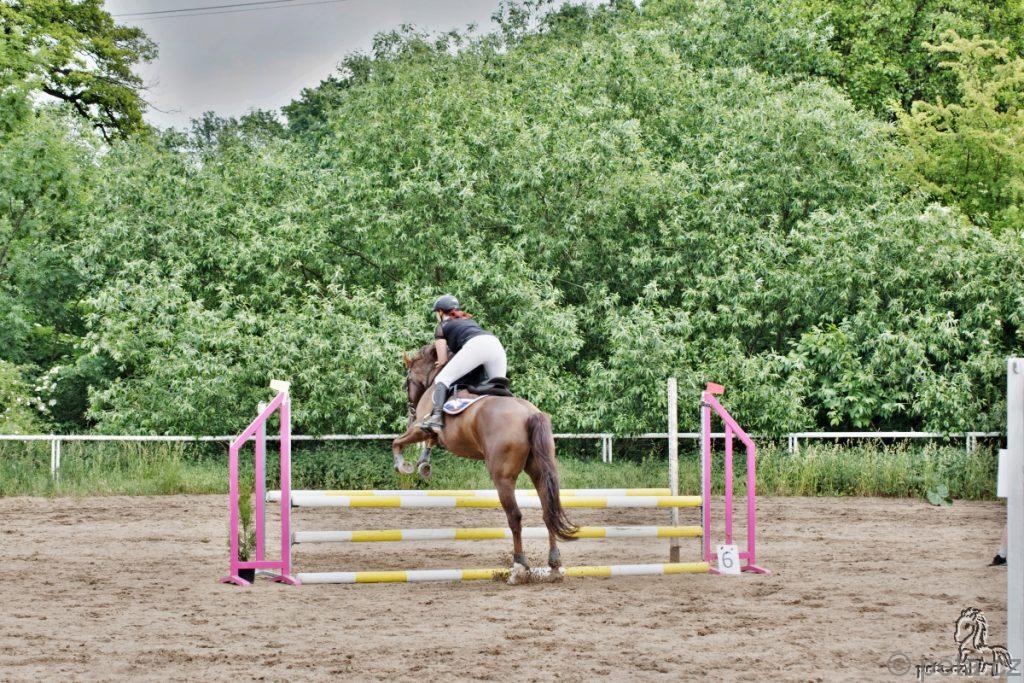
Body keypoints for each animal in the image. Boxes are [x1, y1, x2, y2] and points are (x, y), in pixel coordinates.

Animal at [390, 343, 577, 578]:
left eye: (406, 382)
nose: (411, 414)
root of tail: (529, 414)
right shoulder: (428, 433)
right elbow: (427, 442)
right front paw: (423, 464)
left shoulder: (419, 429)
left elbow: (397, 442)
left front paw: (403, 465)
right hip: (539, 470)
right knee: (547, 511)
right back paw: (554, 562)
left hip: (502, 477)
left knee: (515, 517)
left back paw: (519, 566)